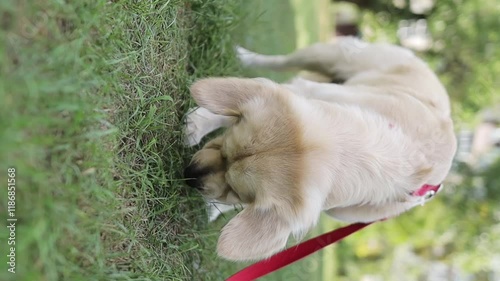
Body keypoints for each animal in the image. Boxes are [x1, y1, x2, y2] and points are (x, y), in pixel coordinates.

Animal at [183, 37, 458, 260]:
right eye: (223, 145)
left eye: (237, 191)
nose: (189, 174)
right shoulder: (303, 94)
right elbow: (229, 112)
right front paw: (199, 123)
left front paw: (212, 207)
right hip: (332, 55)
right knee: (282, 62)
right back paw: (245, 56)